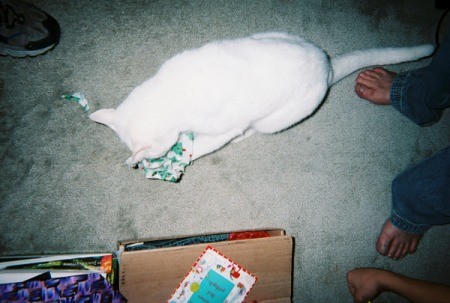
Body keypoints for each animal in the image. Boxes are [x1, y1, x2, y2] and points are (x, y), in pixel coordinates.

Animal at [89, 31, 434, 166]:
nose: (141, 160)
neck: (170, 93)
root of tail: (327, 65)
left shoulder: (222, 128)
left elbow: (201, 147)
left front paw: (180, 157)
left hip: (274, 120)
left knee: (252, 130)